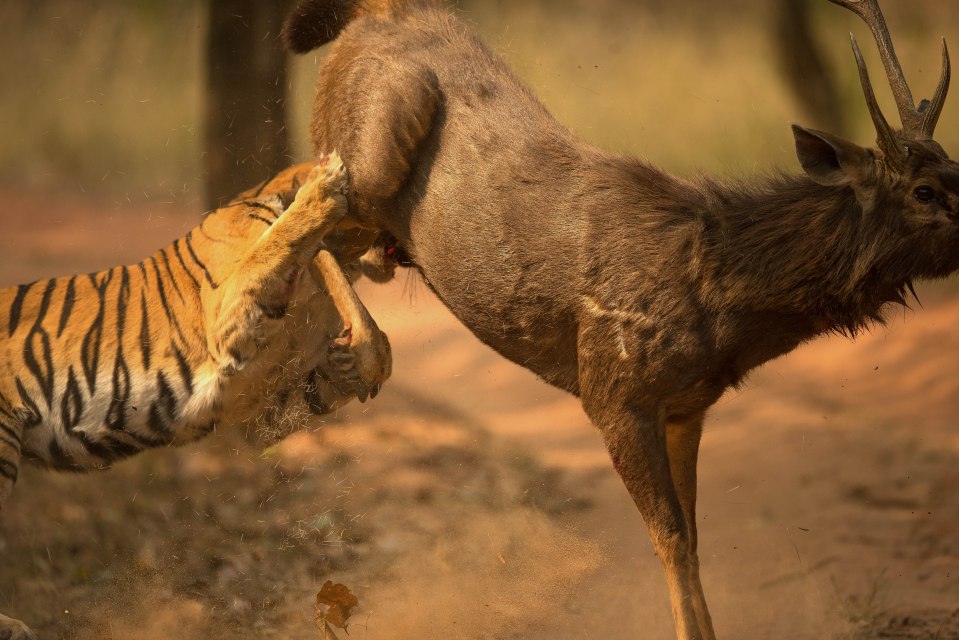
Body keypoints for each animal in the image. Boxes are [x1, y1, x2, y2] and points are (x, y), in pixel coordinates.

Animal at [0, 154, 394, 640]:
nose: (396, 249)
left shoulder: (260, 409)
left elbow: (365, 348)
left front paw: (353, 362)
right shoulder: (225, 318)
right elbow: (275, 246)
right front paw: (323, 185)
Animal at [284, 0, 952, 636]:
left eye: (957, 172)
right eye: (923, 190)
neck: (718, 303)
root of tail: (370, 14)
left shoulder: (687, 407)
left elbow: (692, 538)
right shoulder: (615, 393)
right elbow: (671, 539)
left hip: (383, 227)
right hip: (369, 155)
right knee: (306, 208)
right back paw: (352, 362)